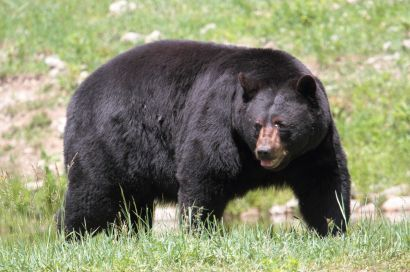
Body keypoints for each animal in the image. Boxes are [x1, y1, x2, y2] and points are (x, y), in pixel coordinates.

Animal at [59, 39, 350, 236]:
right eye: (257, 124)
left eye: (281, 123)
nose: (265, 151)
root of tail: (78, 93)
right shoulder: (218, 116)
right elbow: (205, 171)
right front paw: (199, 231)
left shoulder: (316, 144)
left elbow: (324, 181)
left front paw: (332, 227)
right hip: (105, 140)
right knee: (91, 192)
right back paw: (72, 234)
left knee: (134, 202)